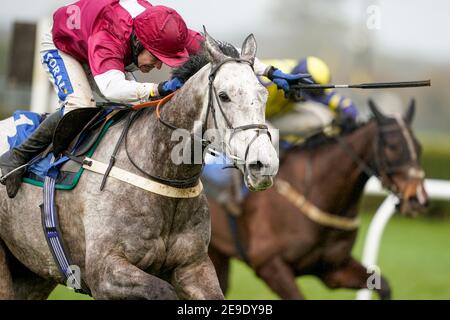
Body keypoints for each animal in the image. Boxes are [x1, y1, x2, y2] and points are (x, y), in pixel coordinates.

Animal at [207, 100, 428, 300]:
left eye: (419, 147)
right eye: (393, 146)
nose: (418, 199)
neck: (315, 191)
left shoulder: (333, 269)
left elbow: (384, 286)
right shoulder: (269, 264)